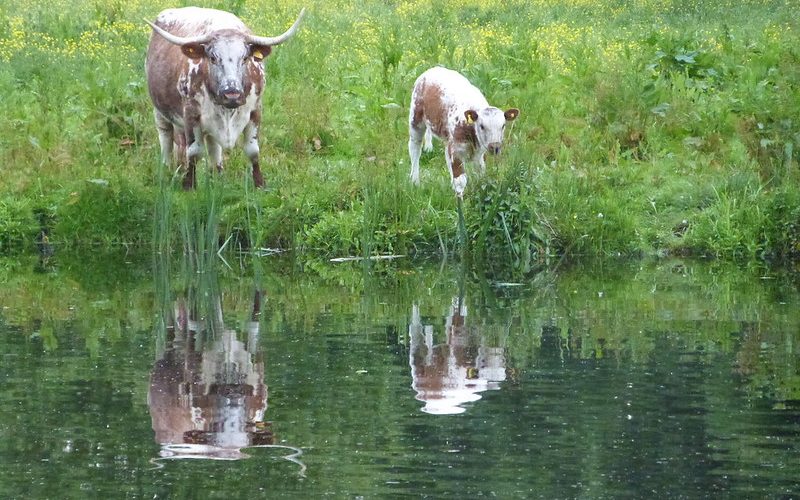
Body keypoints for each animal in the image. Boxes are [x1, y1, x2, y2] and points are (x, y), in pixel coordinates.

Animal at [144, 9, 306, 189]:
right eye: (213, 58)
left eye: (245, 58)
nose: (232, 94)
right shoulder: (190, 114)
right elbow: (193, 151)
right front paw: (189, 185)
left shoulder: (256, 111)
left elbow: (253, 150)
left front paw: (259, 184)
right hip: (159, 111)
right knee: (166, 136)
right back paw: (166, 169)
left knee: (212, 145)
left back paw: (217, 174)